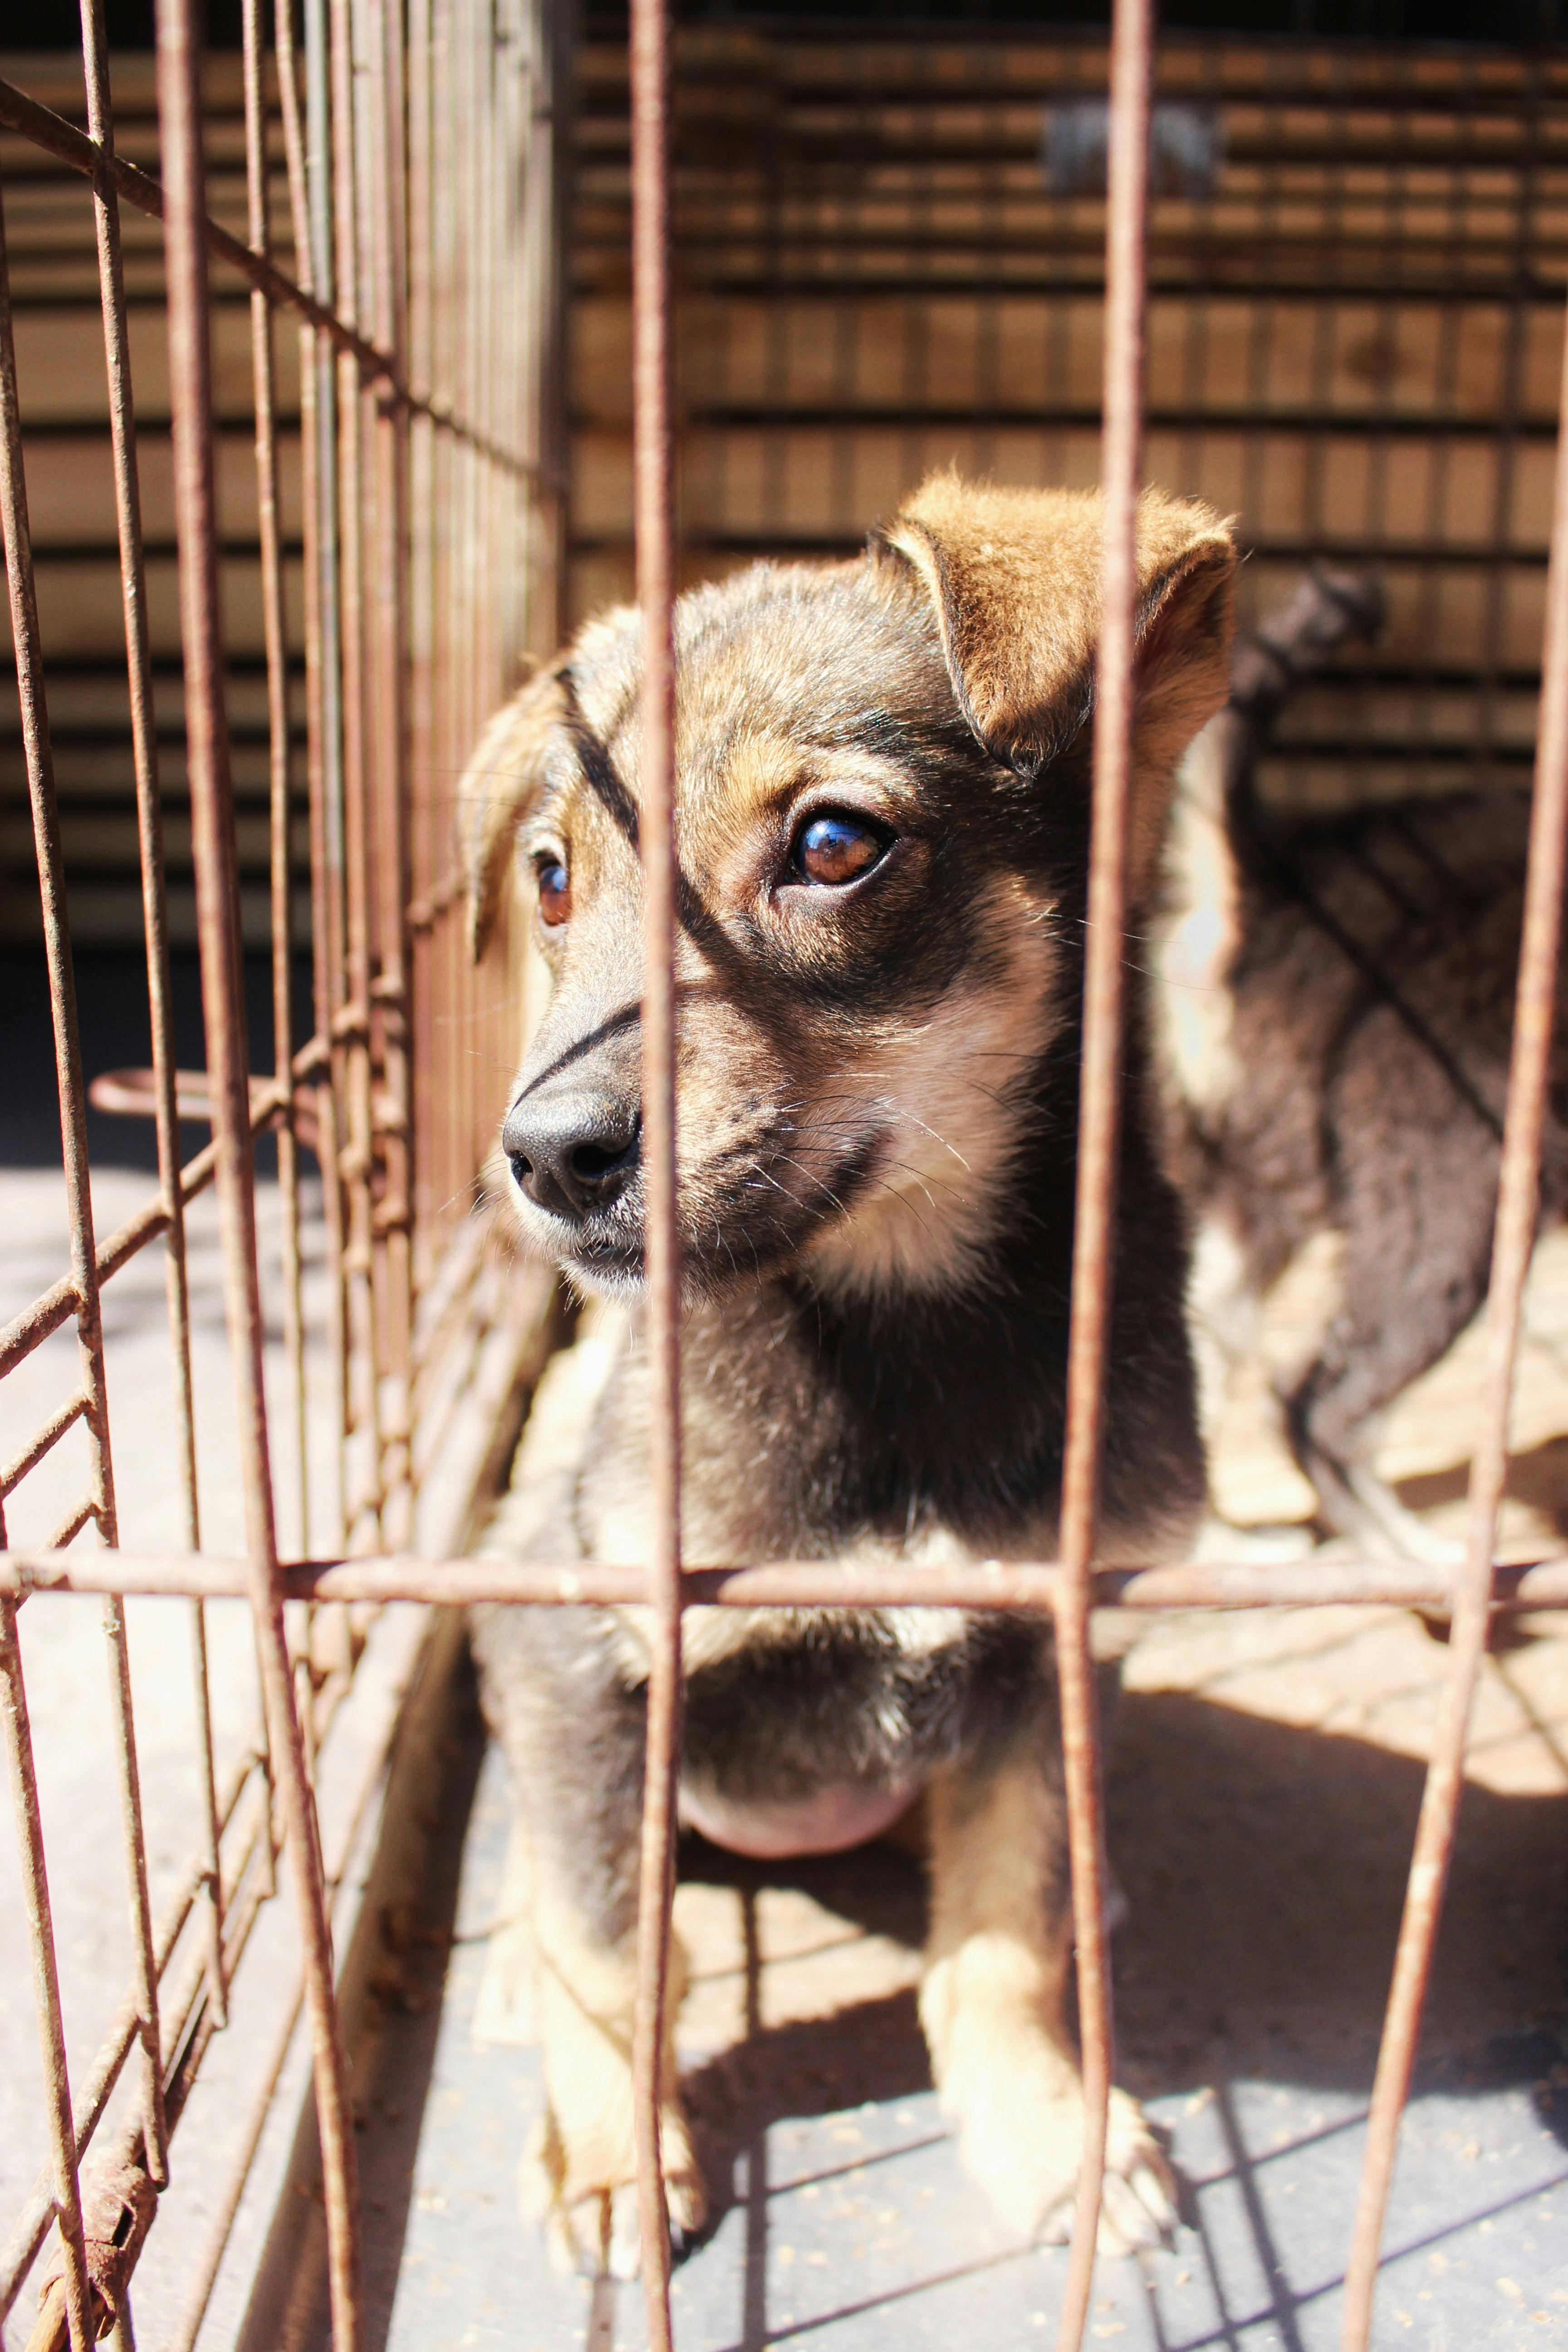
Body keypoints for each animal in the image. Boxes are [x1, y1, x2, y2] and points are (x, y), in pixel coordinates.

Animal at [463, 472, 1241, 2277]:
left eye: (832, 846)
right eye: (552, 879)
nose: (545, 1157)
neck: (899, 1331)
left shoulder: (1054, 1636)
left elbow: (1001, 1937)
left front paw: (1049, 2138)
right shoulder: (567, 1638)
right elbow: (611, 1950)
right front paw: (612, 2152)